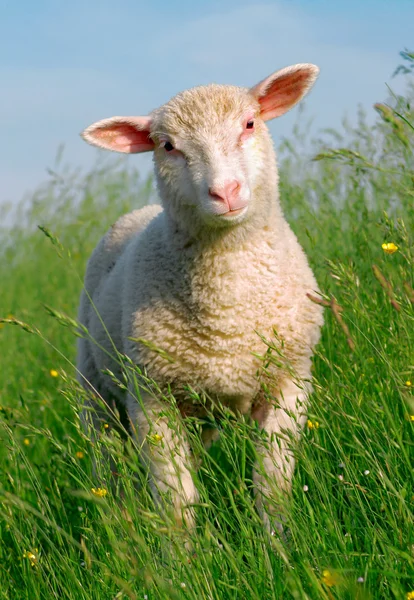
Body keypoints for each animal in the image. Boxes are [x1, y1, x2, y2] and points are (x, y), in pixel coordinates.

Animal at [77, 64, 324, 536]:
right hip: (96, 390)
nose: (225, 191)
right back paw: (116, 526)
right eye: (168, 146)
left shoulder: (290, 382)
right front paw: (182, 556)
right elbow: (176, 501)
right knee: (106, 468)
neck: (227, 314)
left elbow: (271, 486)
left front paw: (276, 545)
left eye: (250, 123)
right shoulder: (151, 397)